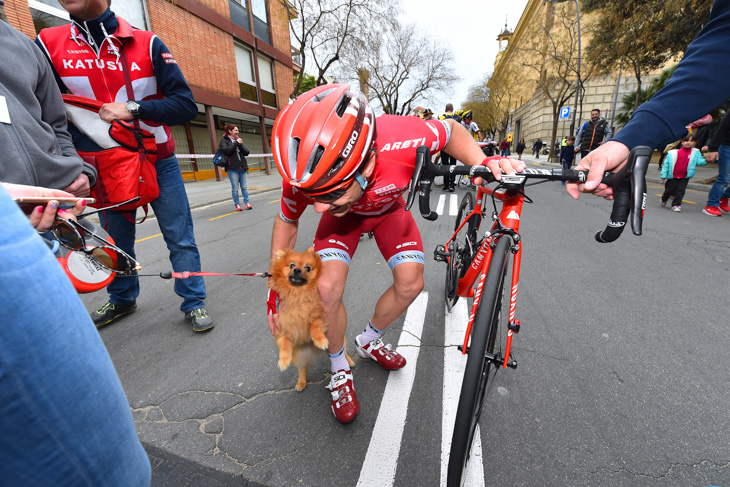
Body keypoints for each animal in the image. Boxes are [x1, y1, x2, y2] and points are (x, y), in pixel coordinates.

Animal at [270, 248, 356, 392]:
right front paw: (283, 360)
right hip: (300, 356)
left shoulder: (317, 316)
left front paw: (320, 340)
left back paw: (348, 361)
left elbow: (314, 327)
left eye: (307, 268)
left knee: (343, 351)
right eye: (292, 265)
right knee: (302, 369)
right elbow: (284, 342)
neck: (298, 294)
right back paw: (301, 382)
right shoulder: (282, 328)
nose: (297, 270)